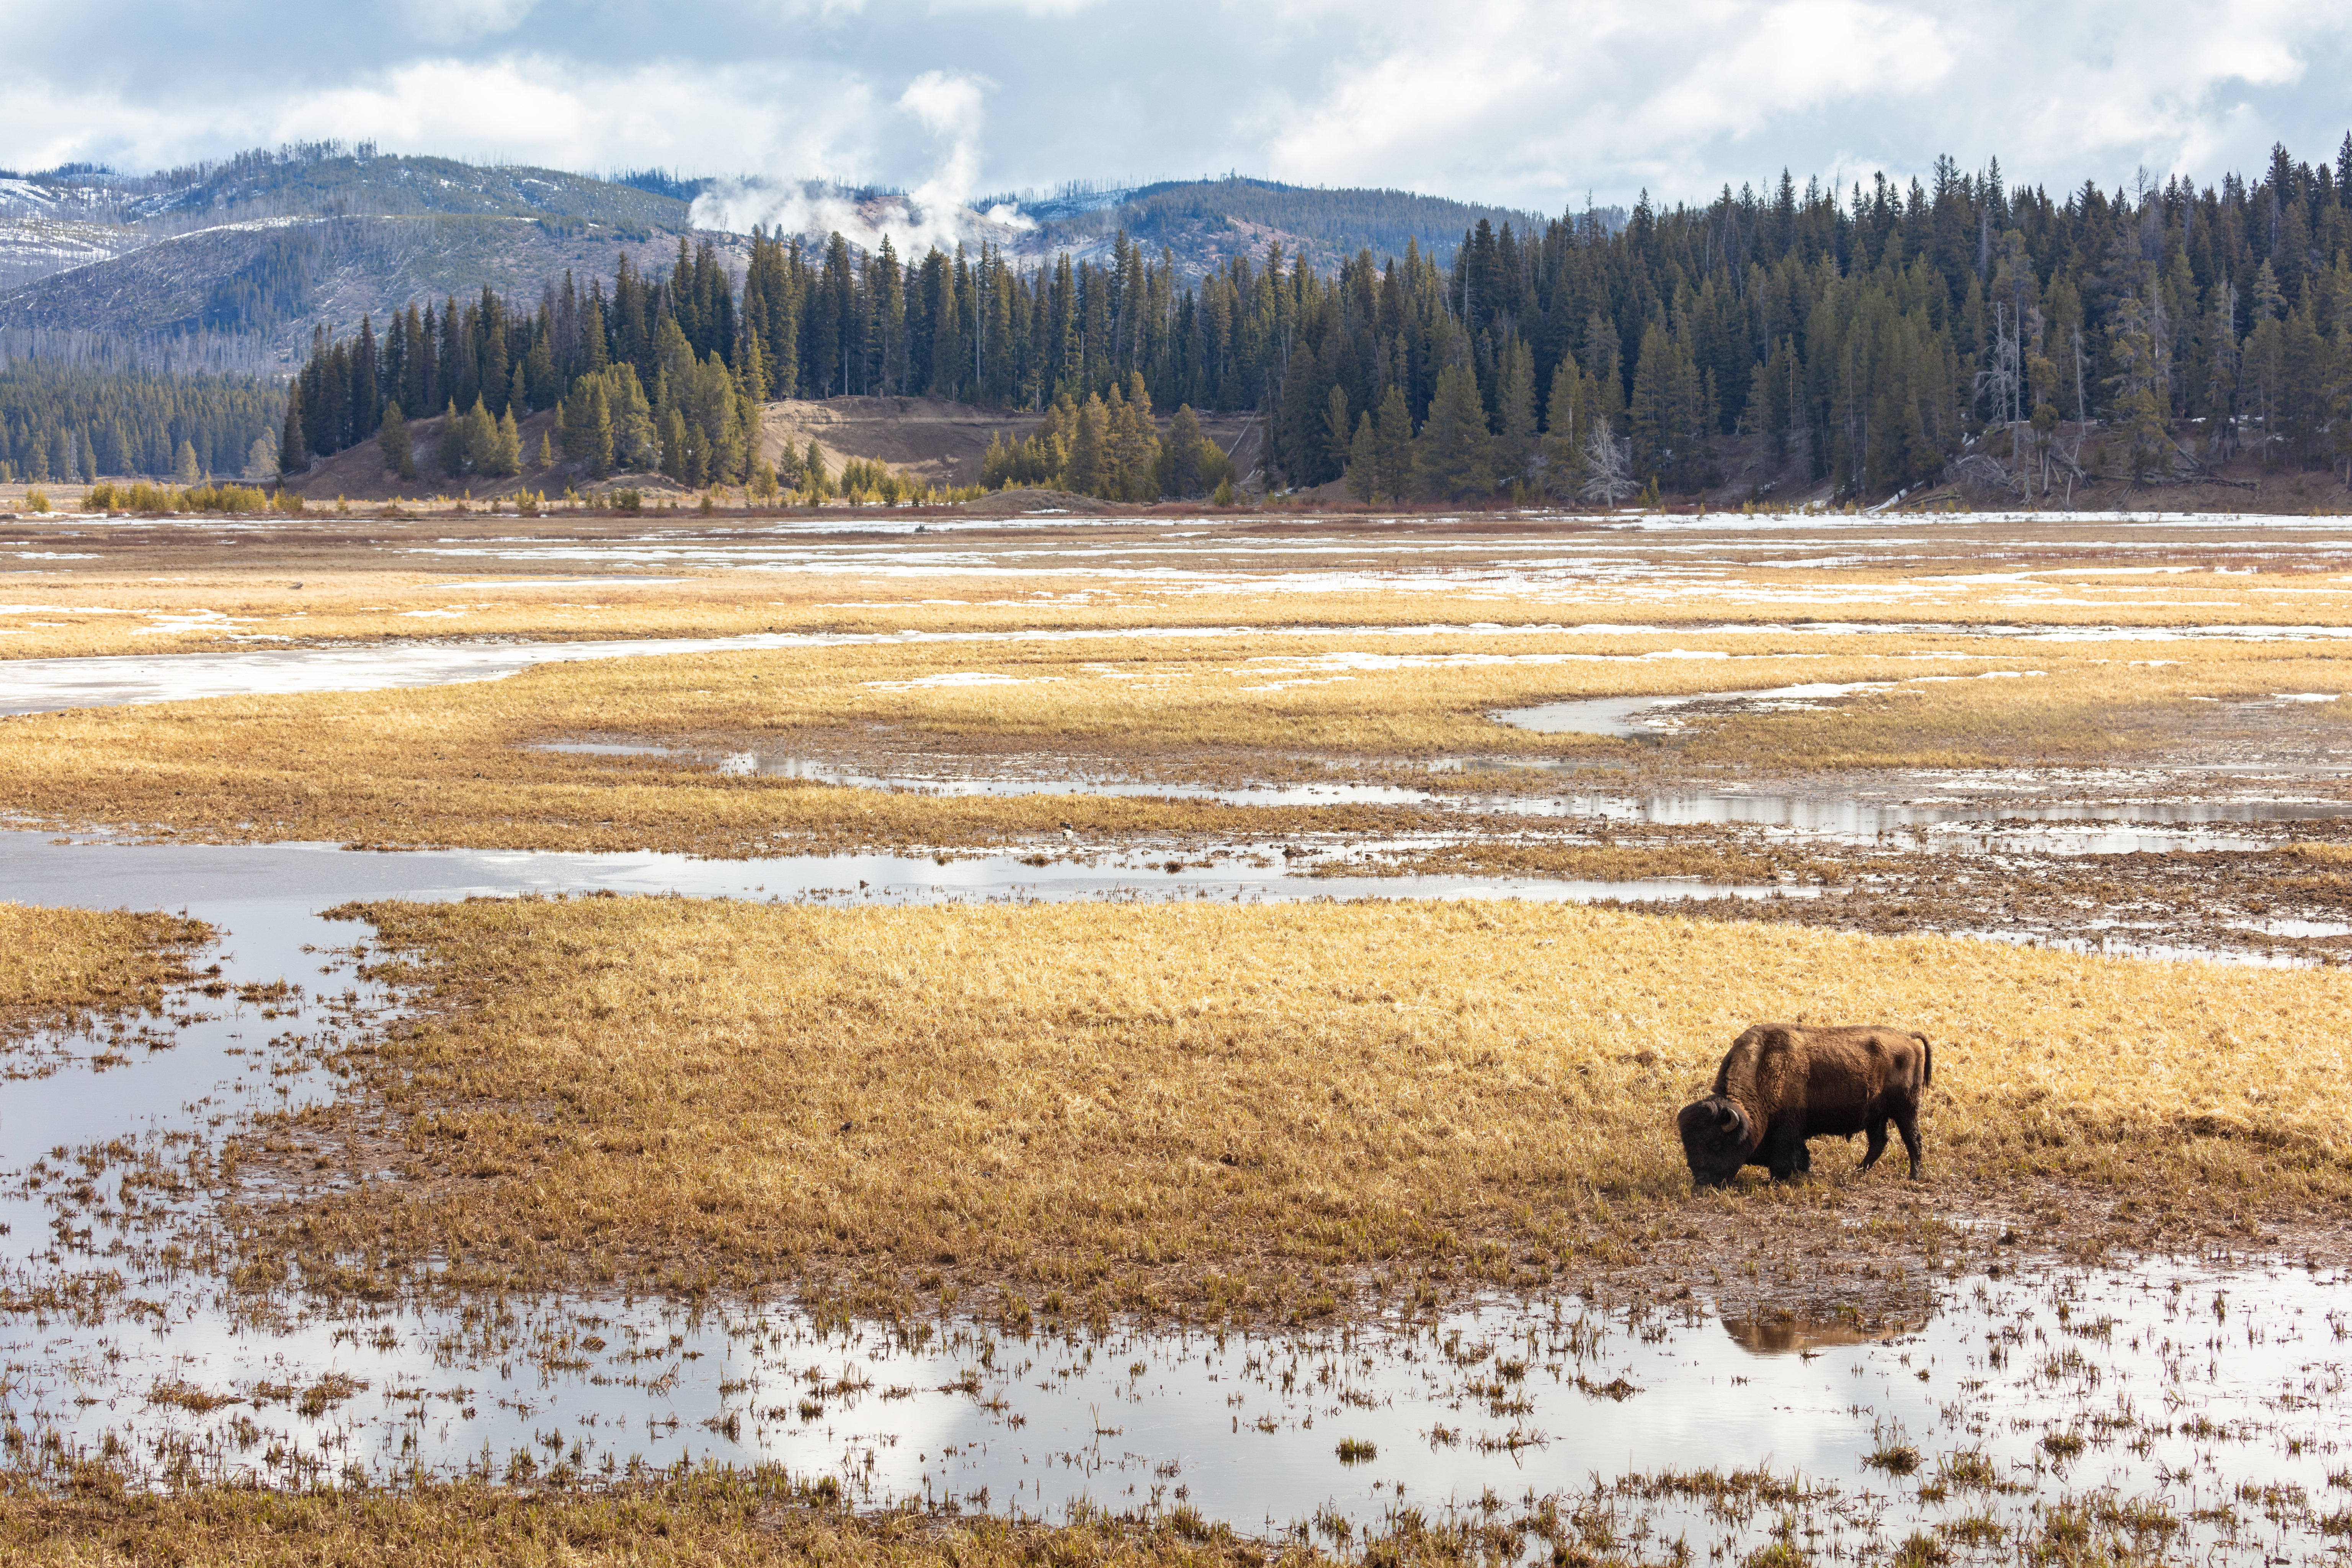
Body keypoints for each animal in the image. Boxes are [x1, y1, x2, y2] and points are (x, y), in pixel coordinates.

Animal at [1684, 1020, 1938, 1189]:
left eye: (1716, 1143)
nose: (1701, 1180)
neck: (1759, 1071)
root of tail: (1909, 1039)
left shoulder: (1787, 1130)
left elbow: (1786, 1157)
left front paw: (1780, 1179)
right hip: (1876, 1116)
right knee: (1879, 1141)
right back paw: (1858, 1171)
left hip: (1906, 1109)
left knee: (1912, 1139)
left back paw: (1914, 1177)